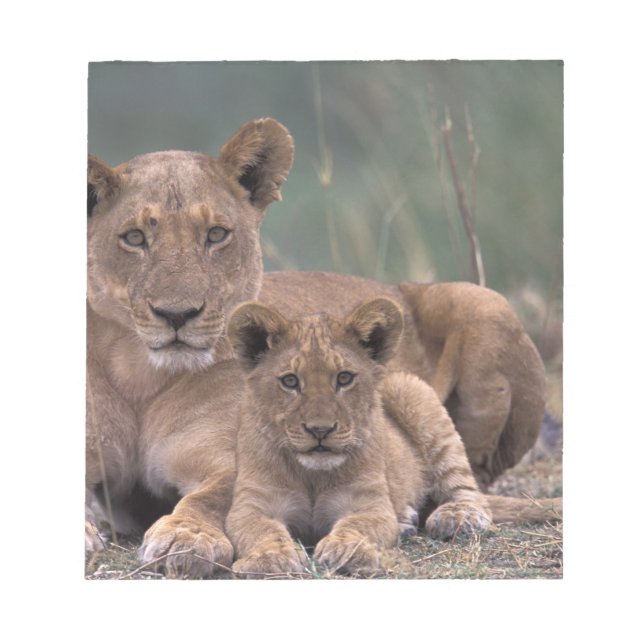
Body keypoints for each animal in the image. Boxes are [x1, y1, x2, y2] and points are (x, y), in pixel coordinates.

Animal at [225, 297, 493, 577]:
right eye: (290, 381)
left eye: (344, 378)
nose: (320, 430)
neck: (312, 477)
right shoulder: (252, 504)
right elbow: (261, 530)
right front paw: (270, 558)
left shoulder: (369, 503)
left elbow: (357, 526)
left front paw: (347, 550)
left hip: (409, 388)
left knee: (469, 490)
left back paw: (458, 516)